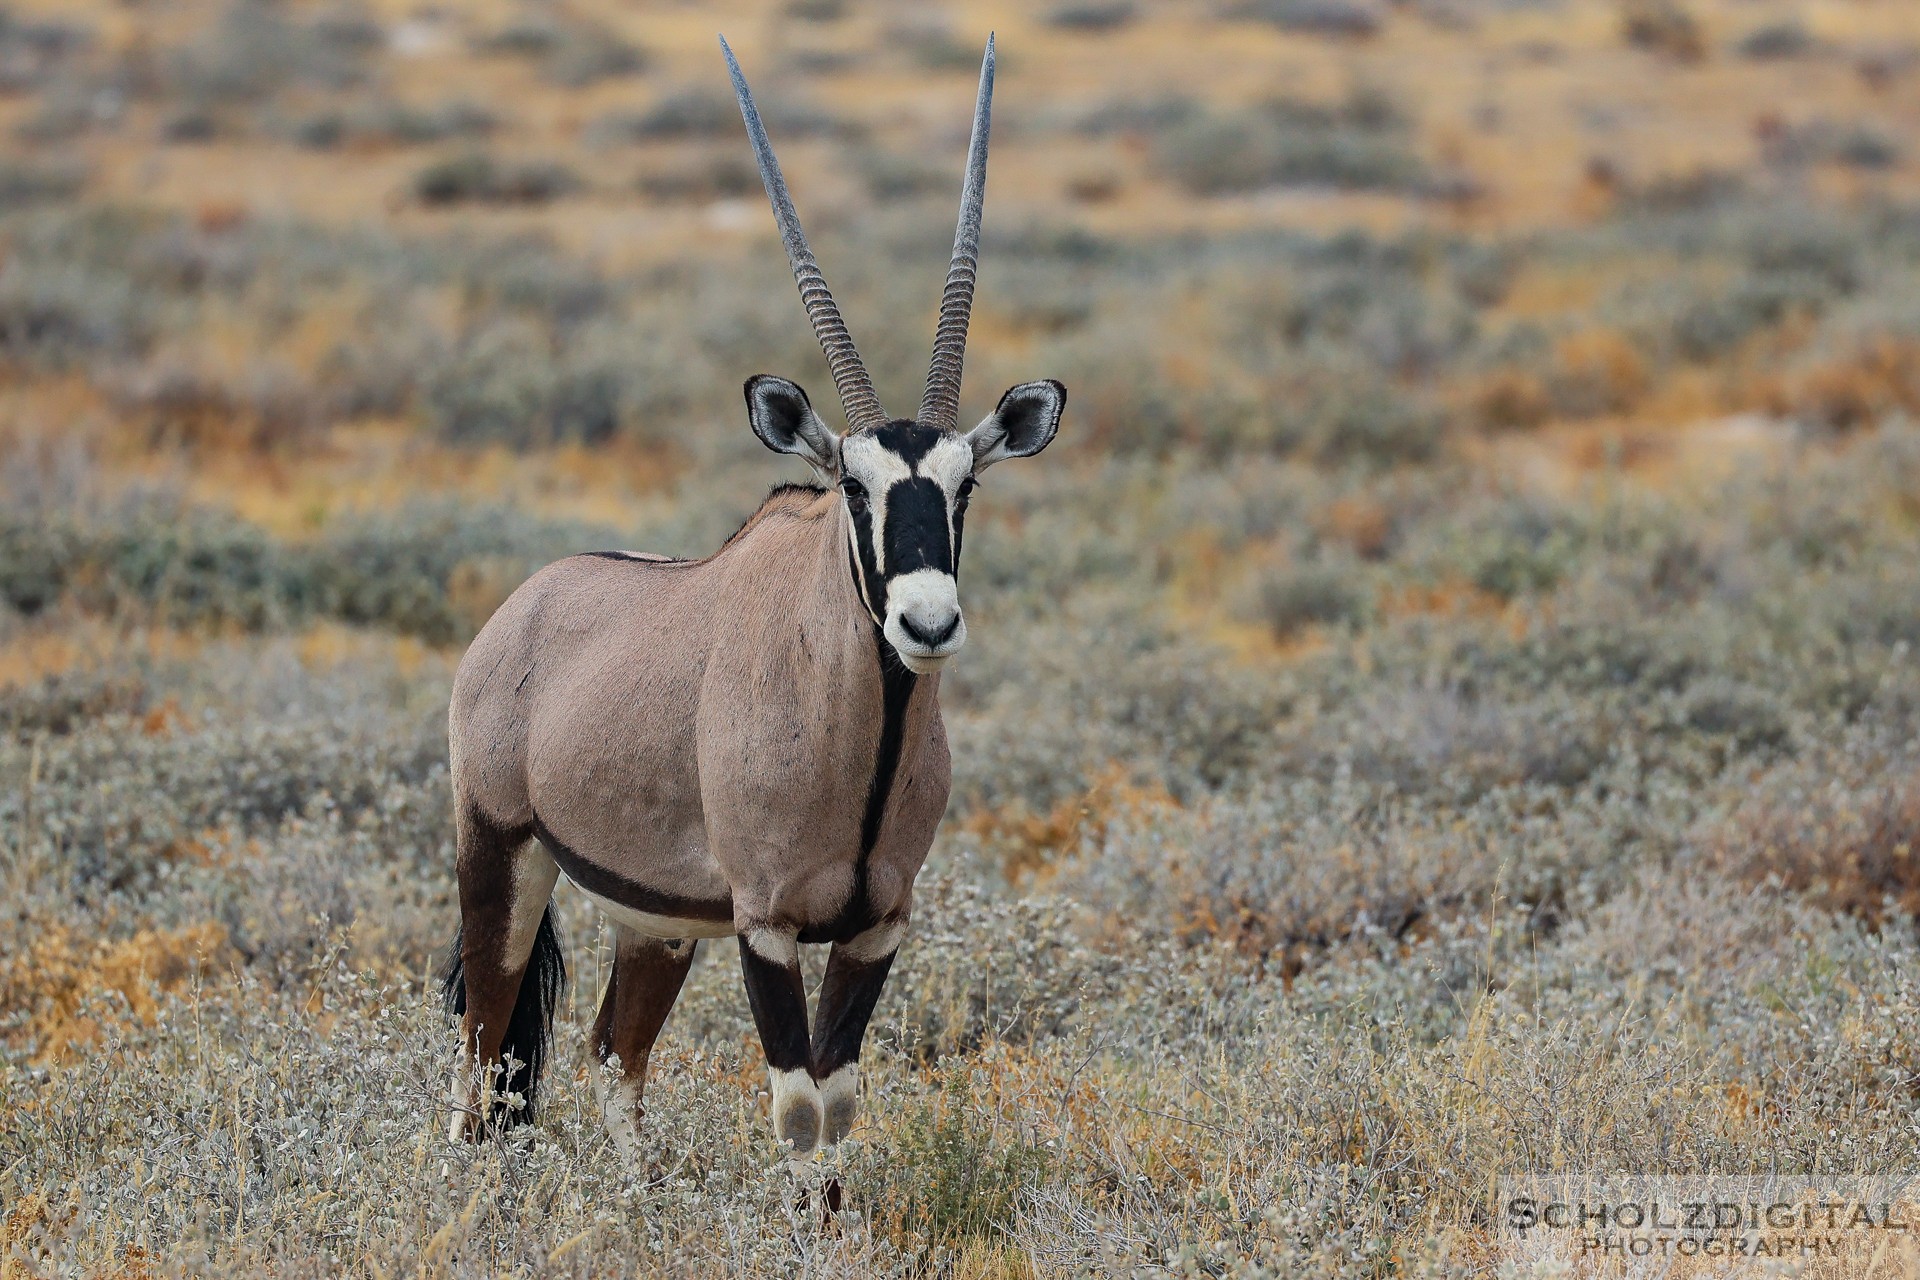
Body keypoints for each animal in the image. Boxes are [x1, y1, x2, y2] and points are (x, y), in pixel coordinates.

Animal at [441, 35, 1067, 1159]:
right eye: (853, 484)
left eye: (965, 486)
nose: (928, 623)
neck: (862, 735)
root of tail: (523, 608)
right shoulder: (767, 924)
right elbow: (798, 1106)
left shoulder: (875, 925)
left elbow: (839, 1101)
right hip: (498, 856)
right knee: (482, 1043)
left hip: (656, 920)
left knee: (614, 1050)